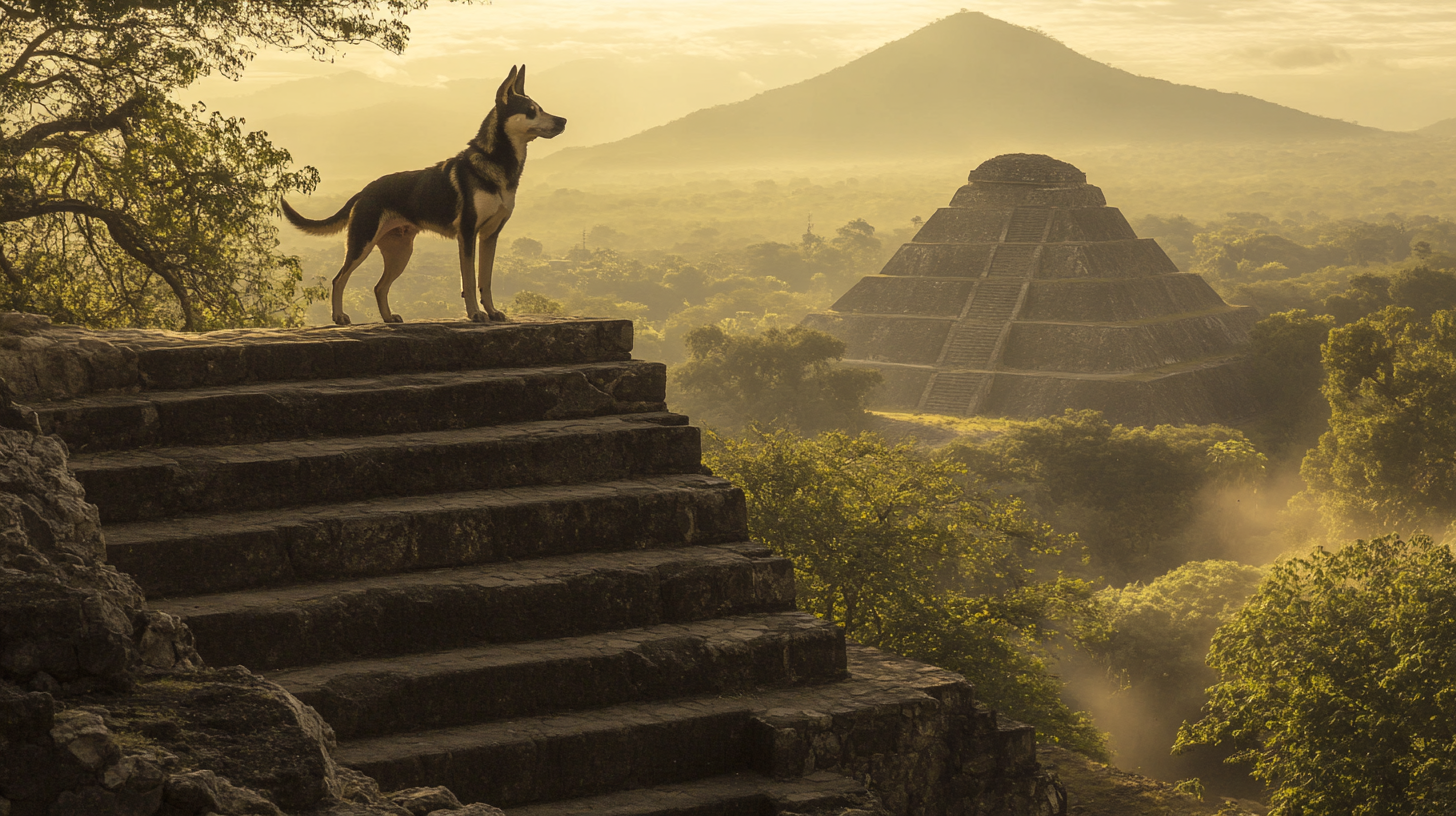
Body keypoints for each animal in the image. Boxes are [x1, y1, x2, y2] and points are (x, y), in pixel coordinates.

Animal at [278, 64, 562, 324]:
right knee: (339, 279)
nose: (563, 121)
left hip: (400, 252)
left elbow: (486, 280)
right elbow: (469, 281)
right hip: (362, 243)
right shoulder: (467, 233)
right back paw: (339, 316)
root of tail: (364, 191)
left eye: (540, 108)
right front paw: (475, 314)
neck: (496, 161)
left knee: (379, 286)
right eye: (531, 111)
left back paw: (388, 317)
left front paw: (491, 312)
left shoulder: (490, 236)